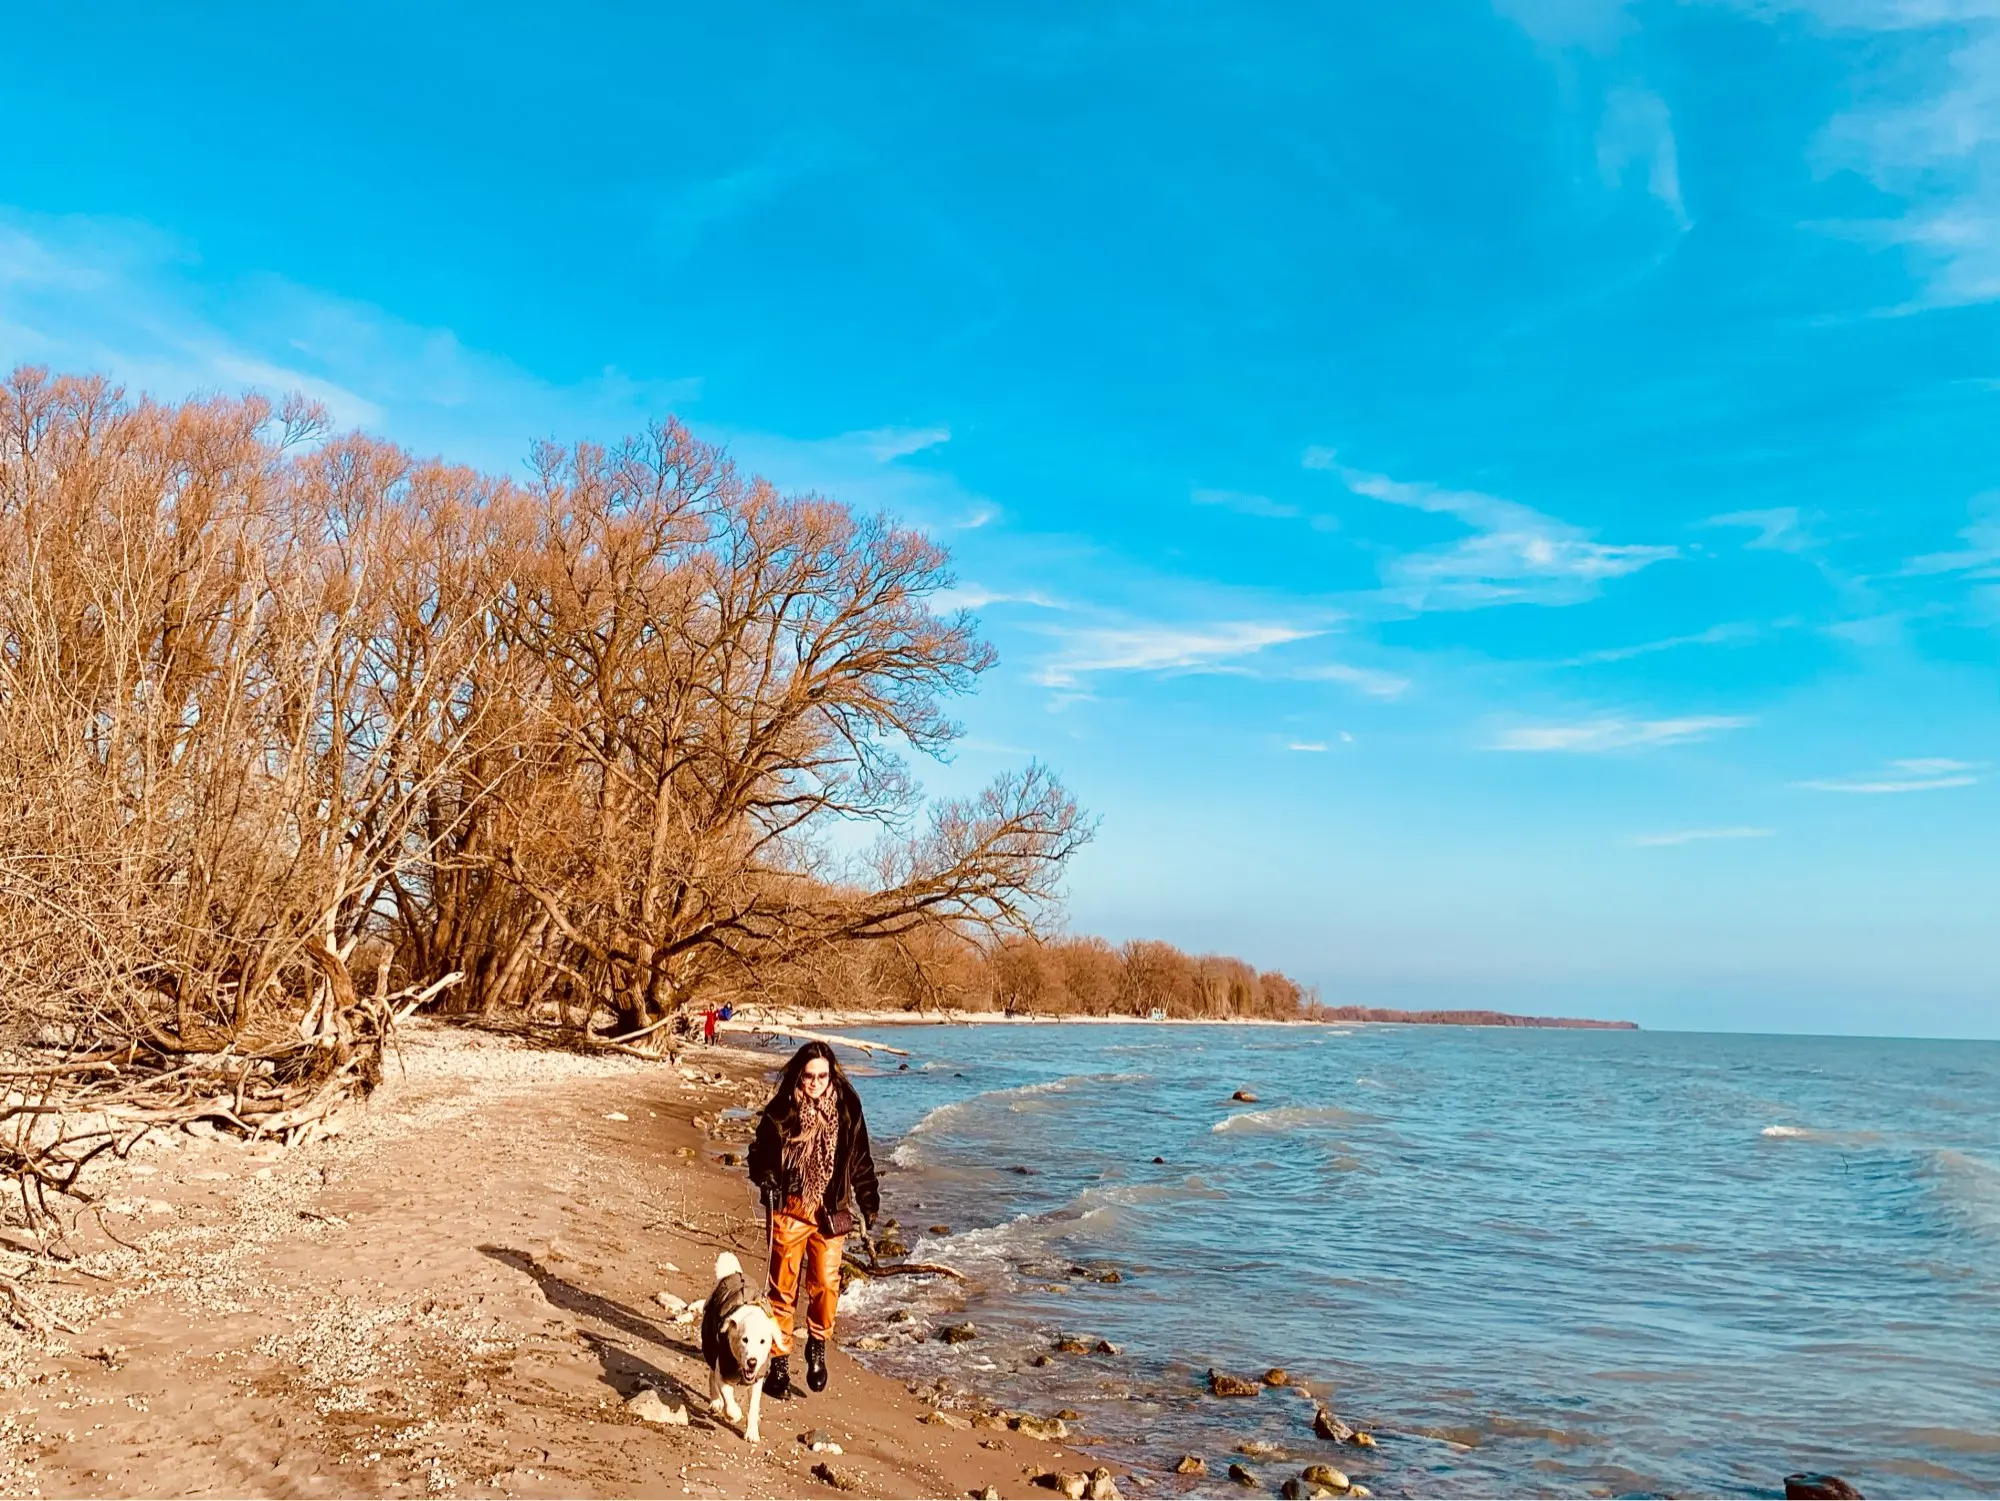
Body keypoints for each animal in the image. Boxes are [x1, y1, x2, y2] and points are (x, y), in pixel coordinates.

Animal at [700, 1250, 778, 1442]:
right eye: (745, 1340)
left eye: (763, 1341)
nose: (752, 1362)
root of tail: (734, 1273)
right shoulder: (722, 1369)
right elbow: (727, 1395)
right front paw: (733, 1414)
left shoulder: (758, 1378)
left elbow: (753, 1406)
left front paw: (752, 1432)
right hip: (710, 1345)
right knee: (711, 1374)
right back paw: (715, 1401)